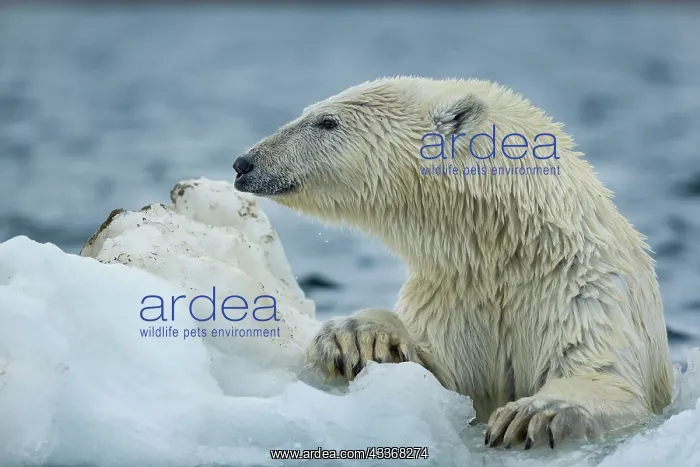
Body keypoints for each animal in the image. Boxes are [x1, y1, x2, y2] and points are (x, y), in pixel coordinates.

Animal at [232, 77, 674, 450]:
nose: (244, 163)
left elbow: (604, 374)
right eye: (310, 113)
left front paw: (534, 414)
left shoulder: (584, 292)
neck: (509, 249)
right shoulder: (455, 294)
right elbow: (444, 377)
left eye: (327, 122)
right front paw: (354, 335)